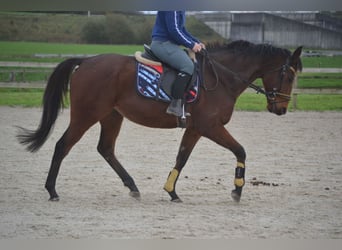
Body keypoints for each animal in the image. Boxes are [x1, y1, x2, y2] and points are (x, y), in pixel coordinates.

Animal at [18, 40, 302, 202]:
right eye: (289, 75)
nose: (281, 109)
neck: (220, 76)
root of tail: (86, 62)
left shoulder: (196, 128)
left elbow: (182, 157)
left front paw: (171, 191)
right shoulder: (211, 127)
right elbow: (240, 150)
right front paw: (237, 189)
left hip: (112, 116)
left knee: (105, 149)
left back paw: (132, 186)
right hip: (86, 115)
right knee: (62, 146)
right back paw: (52, 190)